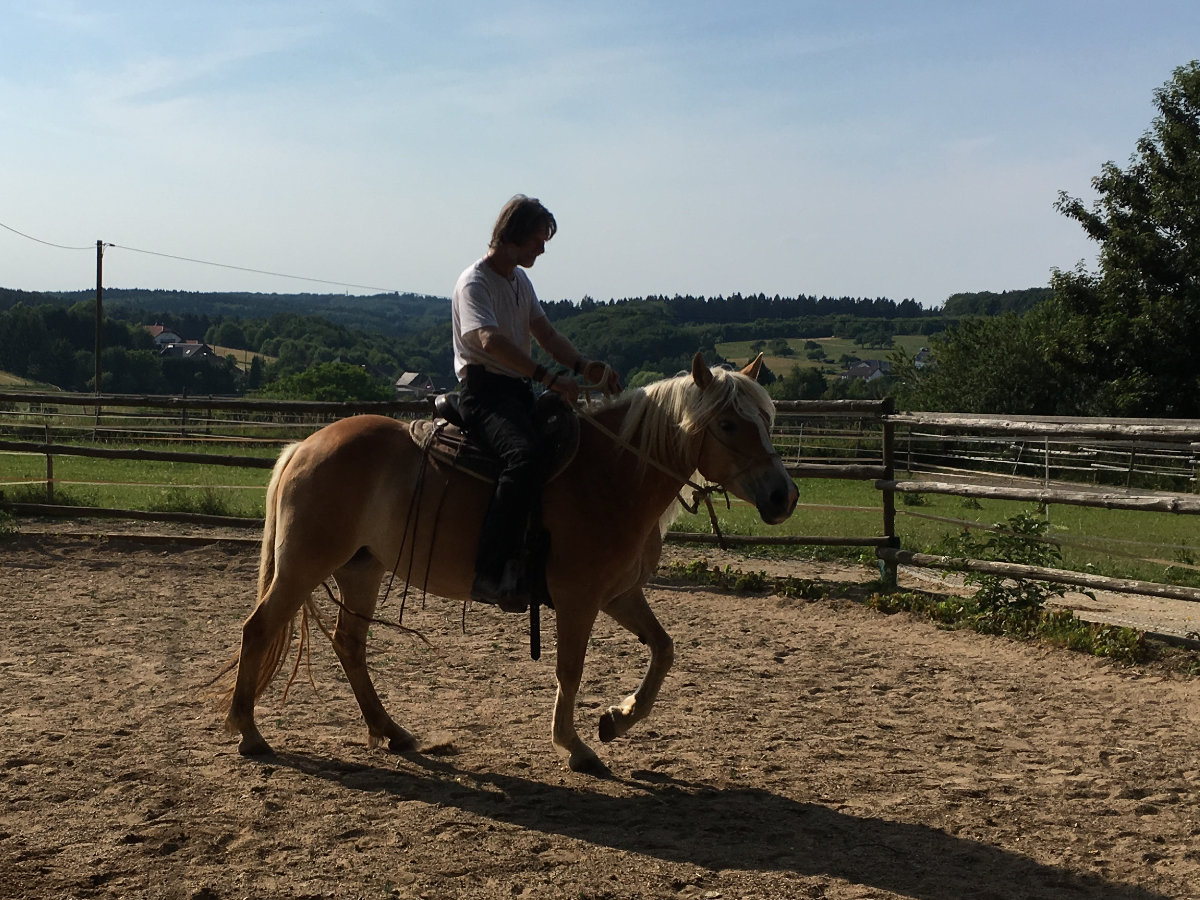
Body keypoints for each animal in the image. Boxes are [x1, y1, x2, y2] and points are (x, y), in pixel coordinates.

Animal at [220, 352, 798, 772]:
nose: (783, 496)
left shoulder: (618, 594)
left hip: (361, 568)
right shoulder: (578, 599)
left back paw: (391, 731)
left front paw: (617, 720)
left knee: (349, 646)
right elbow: (571, 668)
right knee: (259, 629)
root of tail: (304, 445)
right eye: (729, 424)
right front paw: (575, 746)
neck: (609, 476)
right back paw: (249, 732)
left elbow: (663, 649)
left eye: (767, 419)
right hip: (304, 564)